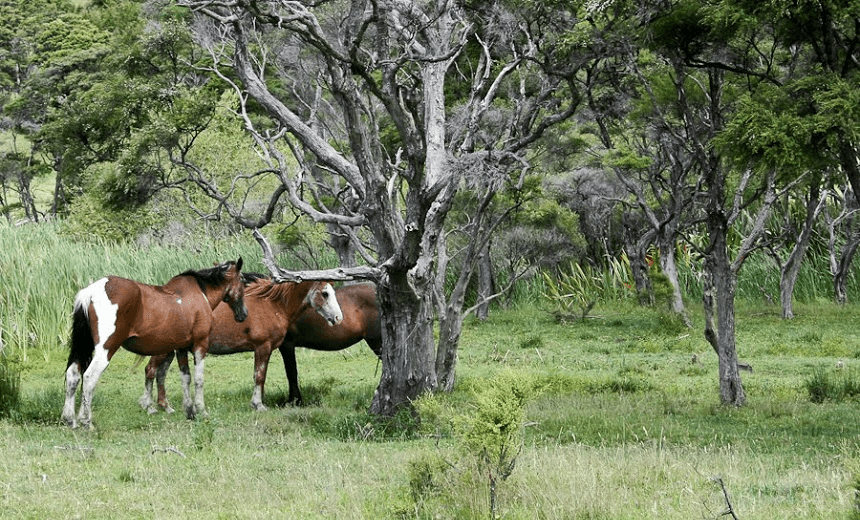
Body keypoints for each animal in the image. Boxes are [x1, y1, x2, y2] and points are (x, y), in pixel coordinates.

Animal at [61, 259, 248, 429]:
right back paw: (86, 421)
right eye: (243, 282)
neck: (200, 295)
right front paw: (201, 410)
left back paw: (70, 419)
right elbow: (198, 379)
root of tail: (91, 292)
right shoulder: (200, 345)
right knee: (89, 377)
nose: (243, 314)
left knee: (73, 375)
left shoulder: (180, 348)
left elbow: (185, 378)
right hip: (106, 349)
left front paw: (189, 411)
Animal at [139, 277, 345, 412]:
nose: (338, 318)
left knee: (160, 374)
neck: (273, 305)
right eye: (325, 293)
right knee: (150, 370)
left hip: (169, 350)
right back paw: (149, 407)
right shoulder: (263, 347)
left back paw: (166, 407)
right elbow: (259, 376)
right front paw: (258, 405)